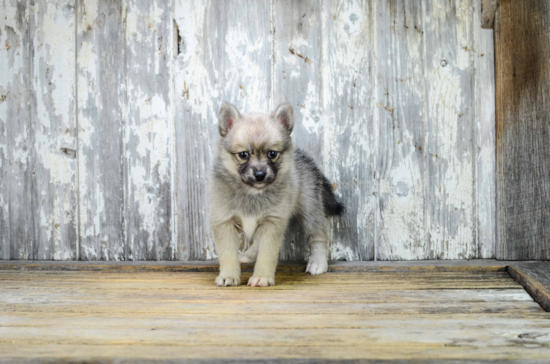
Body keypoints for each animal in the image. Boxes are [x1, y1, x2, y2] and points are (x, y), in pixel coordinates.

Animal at [210, 102, 344, 288]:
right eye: (243, 155)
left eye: (272, 154)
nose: (260, 174)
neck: (252, 193)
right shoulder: (225, 222)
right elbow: (228, 254)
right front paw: (228, 276)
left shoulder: (272, 222)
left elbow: (267, 255)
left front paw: (262, 277)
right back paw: (248, 255)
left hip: (310, 210)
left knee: (318, 235)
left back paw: (318, 262)